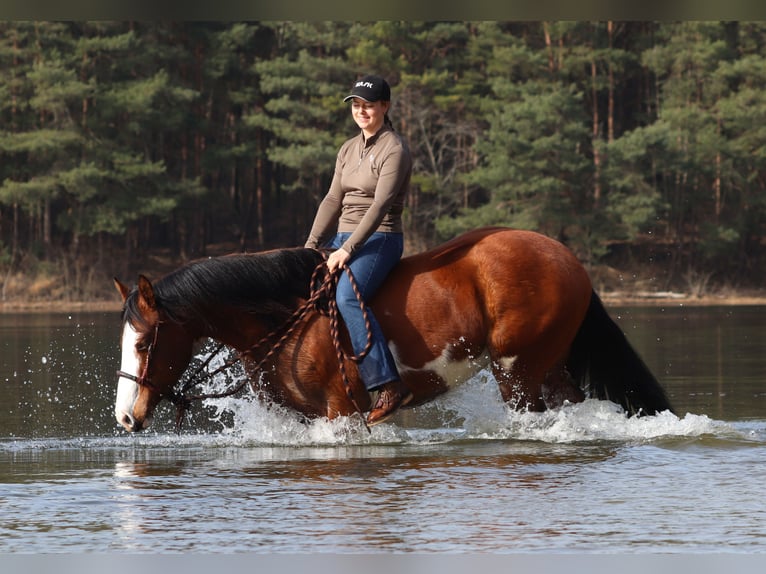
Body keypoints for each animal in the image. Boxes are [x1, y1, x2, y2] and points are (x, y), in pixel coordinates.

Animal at [112, 226, 674, 433]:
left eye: (142, 342)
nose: (125, 417)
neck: (285, 316)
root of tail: (566, 257)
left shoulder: (340, 412)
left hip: (520, 371)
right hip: (549, 367)